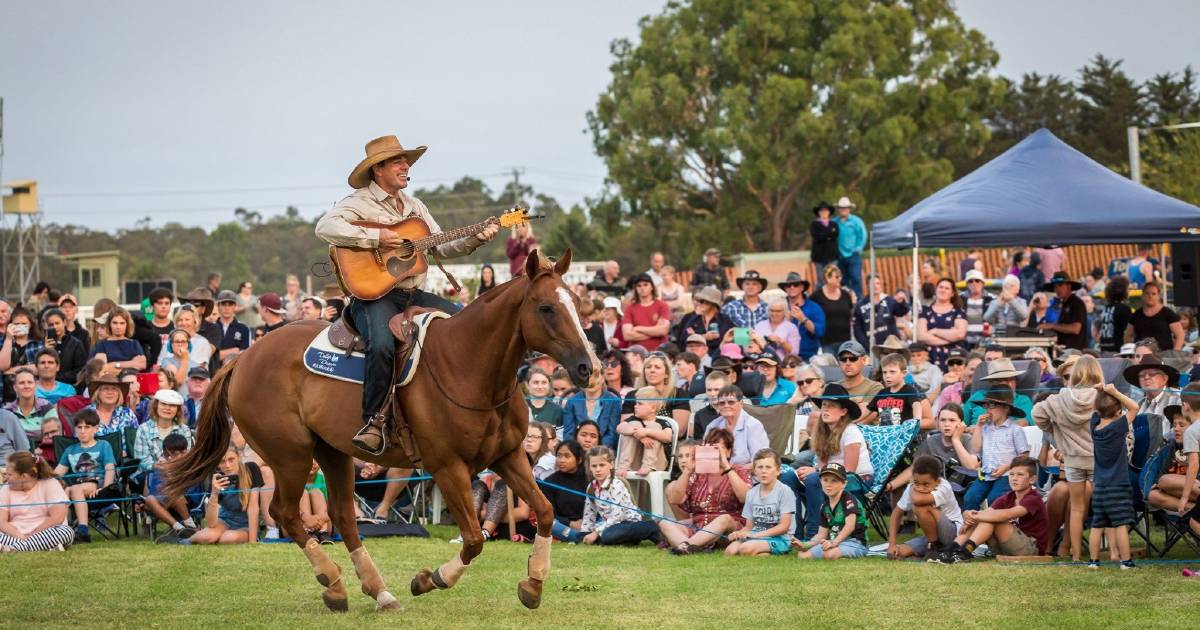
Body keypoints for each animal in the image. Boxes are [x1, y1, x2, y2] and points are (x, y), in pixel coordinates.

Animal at [166, 249, 597, 609]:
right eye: (546, 308)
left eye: (577, 305)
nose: (587, 367)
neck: (467, 367)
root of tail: (243, 359)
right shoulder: (448, 467)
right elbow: (475, 539)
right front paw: (430, 579)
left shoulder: (507, 456)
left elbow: (544, 511)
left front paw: (533, 583)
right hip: (291, 456)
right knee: (286, 514)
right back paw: (333, 583)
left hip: (332, 453)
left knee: (343, 518)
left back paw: (379, 592)